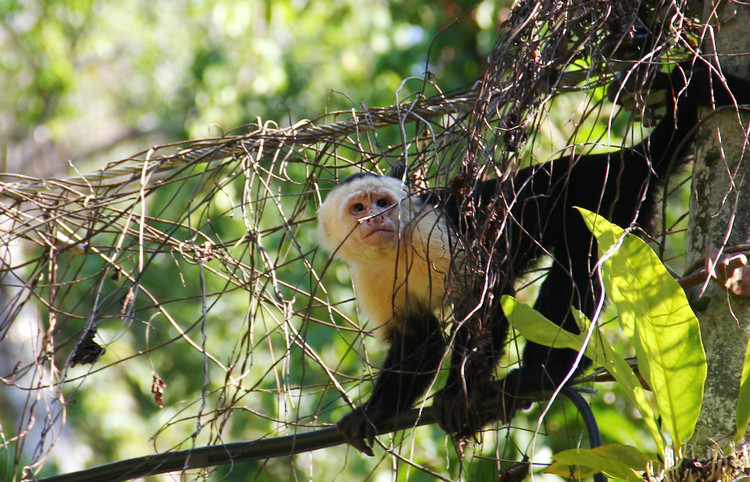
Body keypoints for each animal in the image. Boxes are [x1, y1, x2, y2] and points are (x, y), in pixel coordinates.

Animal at [318, 61, 750, 456]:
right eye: (358, 208)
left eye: (383, 202)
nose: (376, 218)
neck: (395, 250)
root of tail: (621, 160)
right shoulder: (367, 274)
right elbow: (419, 341)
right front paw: (371, 413)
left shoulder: (429, 230)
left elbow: (487, 293)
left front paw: (460, 395)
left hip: (605, 208)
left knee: (574, 272)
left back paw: (543, 374)